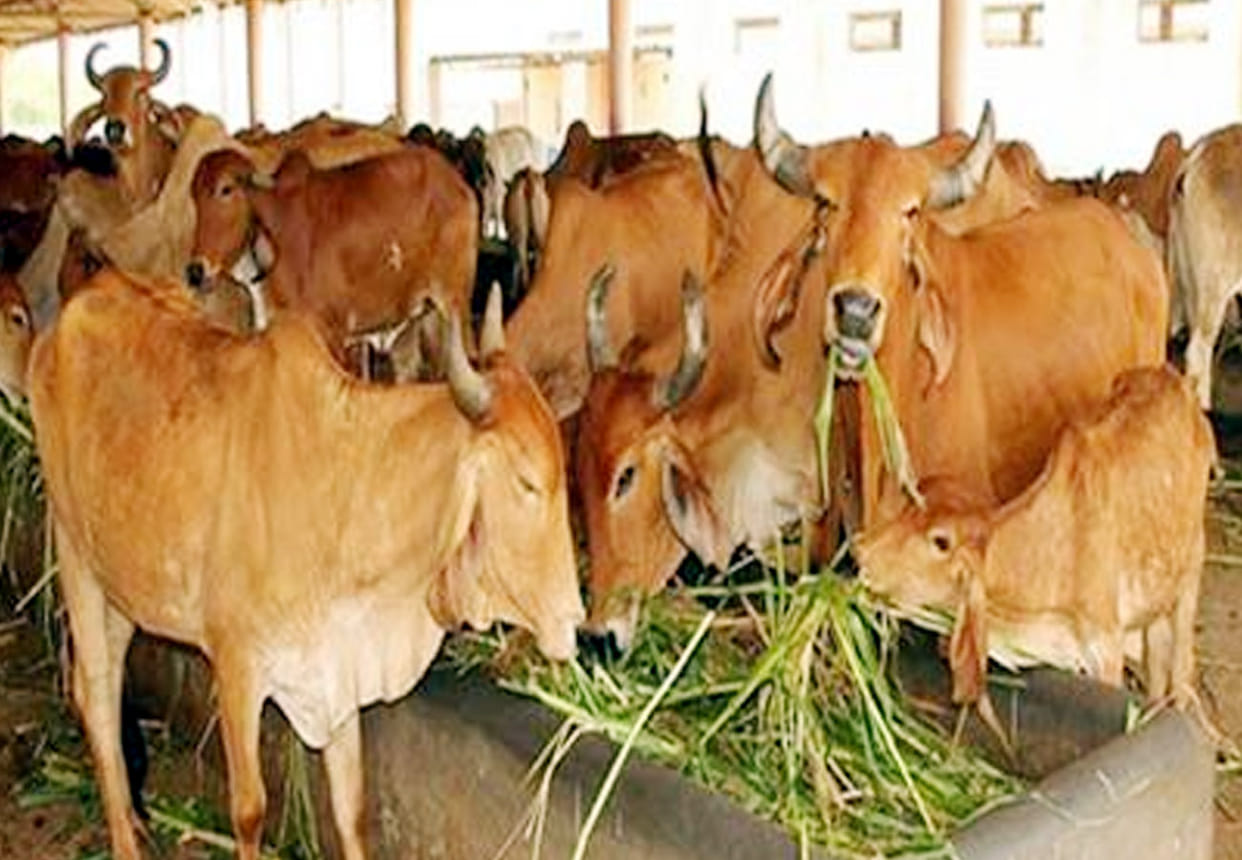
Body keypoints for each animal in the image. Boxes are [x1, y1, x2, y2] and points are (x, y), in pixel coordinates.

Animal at [29, 268, 583, 860]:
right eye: (527, 481)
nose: (572, 619)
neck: (343, 487)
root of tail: (81, 302)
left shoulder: (337, 669)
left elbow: (352, 807)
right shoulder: (236, 664)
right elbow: (250, 811)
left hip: (123, 585)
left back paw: (134, 821)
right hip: (75, 557)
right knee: (96, 691)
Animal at [186, 144, 477, 374]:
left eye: (226, 189)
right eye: (194, 196)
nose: (196, 271)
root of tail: (457, 183)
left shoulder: (334, 335)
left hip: (454, 303)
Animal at [854, 366, 1210, 719]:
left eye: (940, 542)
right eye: (909, 508)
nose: (860, 550)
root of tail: (1174, 378)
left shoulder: (1106, 648)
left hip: (1192, 565)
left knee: (1180, 662)